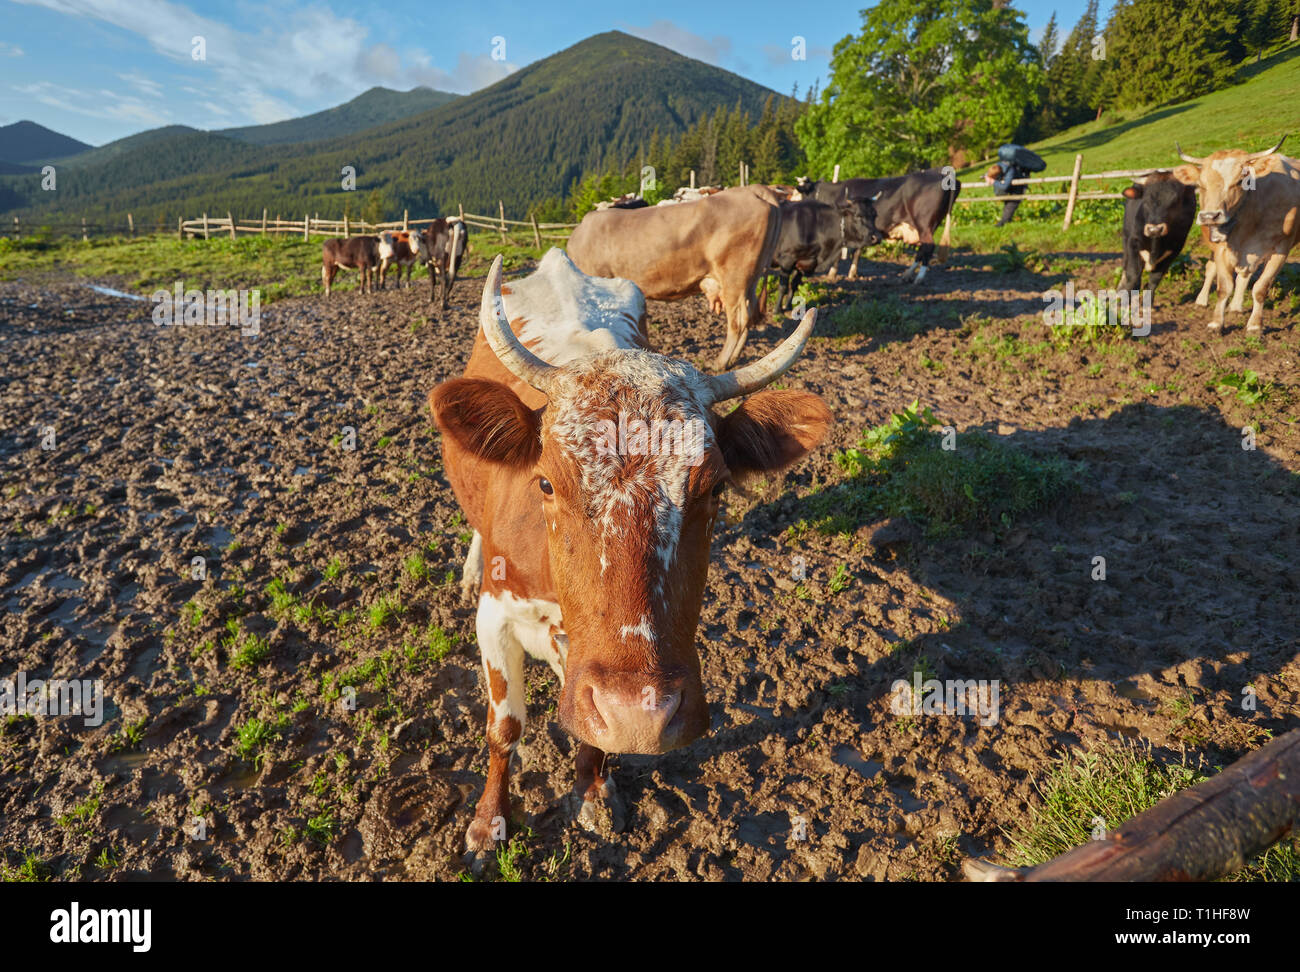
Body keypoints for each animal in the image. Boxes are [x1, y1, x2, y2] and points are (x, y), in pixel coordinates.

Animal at [429, 251, 830, 853]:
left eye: (716, 489)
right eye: (545, 483)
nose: (639, 715)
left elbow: (592, 735)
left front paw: (593, 790)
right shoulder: (495, 617)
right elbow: (505, 727)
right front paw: (488, 820)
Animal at [567, 184, 783, 369]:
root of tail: (752, 189)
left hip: (734, 277)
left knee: (738, 321)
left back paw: (721, 362)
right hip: (751, 279)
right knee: (748, 316)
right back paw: (733, 359)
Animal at [794, 169, 959, 283]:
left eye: (797, 193)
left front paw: (832, 273)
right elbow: (857, 251)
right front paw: (852, 272)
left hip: (924, 224)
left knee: (928, 247)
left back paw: (919, 277)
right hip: (930, 226)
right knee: (923, 249)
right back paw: (907, 275)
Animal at [1118, 171, 1198, 300]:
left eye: (1175, 201)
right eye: (1145, 200)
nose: (1154, 229)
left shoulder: (1173, 251)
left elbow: (1154, 280)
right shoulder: (1133, 243)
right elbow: (1133, 276)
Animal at [1174, 137, 1299, 331]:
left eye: (1241, 181)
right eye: (1200, 184)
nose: (1209, 216)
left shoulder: (1282, 248)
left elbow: (1261, 288)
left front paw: (1255, 325)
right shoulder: (1221, 248)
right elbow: (1224, 287)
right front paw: (1216, 323)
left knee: (1244, 276)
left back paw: (1236, 306)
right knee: (1211, 269)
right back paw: (1202, 300)